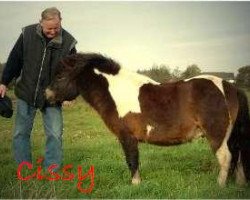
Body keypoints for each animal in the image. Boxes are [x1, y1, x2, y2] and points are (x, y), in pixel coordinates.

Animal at [46, 53, 250, 186]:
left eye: (60, 76)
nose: (46, 94)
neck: (116, 93)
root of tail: (229, 87)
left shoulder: (127, 137)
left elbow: (132, 161)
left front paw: (135, 184)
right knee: (239, 156)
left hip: (216, 135)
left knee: (226, 158)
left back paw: (219, 186)